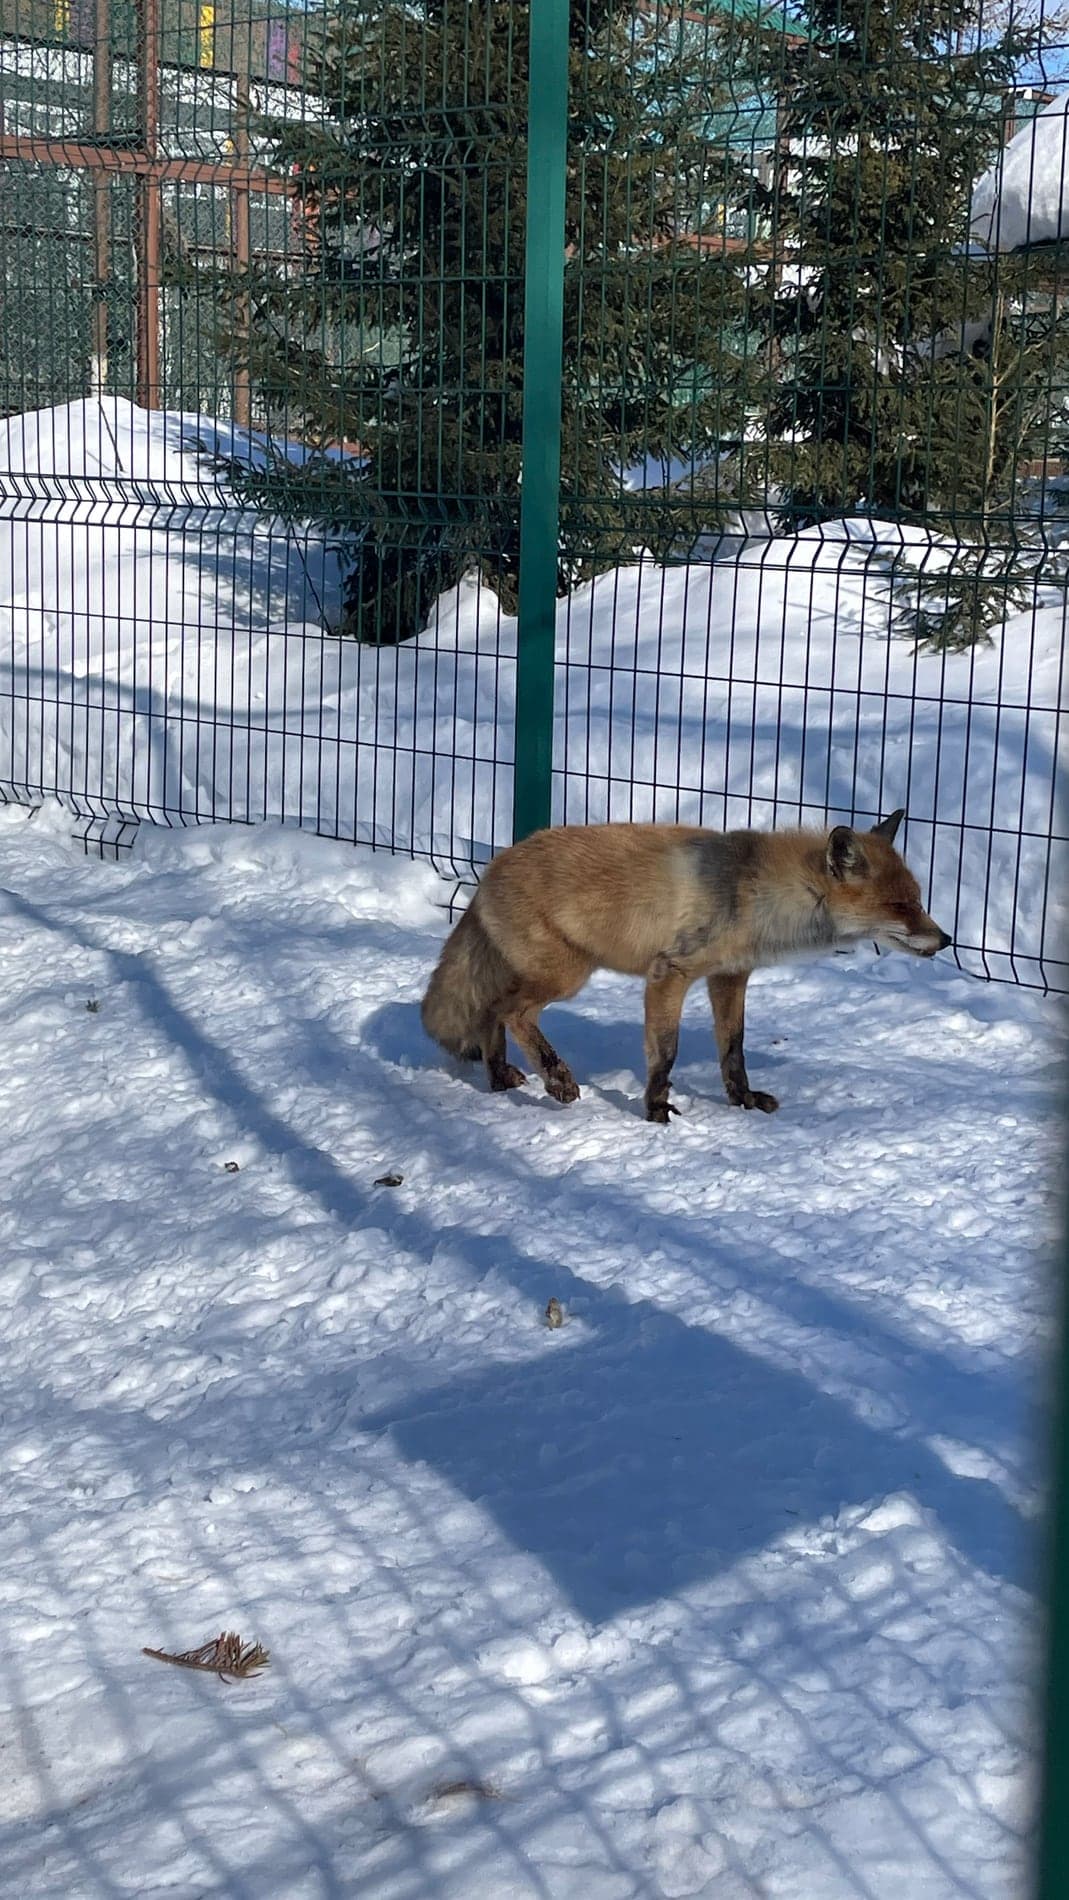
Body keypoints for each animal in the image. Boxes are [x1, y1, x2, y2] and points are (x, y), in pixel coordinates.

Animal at [420, 811, 952, 1124]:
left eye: (919, 900)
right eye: (901, 906)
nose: (946, 940)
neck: (755, 895)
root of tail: (488, 869)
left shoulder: (730, 976)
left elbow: (733, 1050)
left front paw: (743, 1101)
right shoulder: (670, 974)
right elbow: (666, 1053)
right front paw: (655, 1108)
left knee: (490, 1010)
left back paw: (497, 1077)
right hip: (565, 975)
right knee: (511, 1012)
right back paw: (556, 1080)